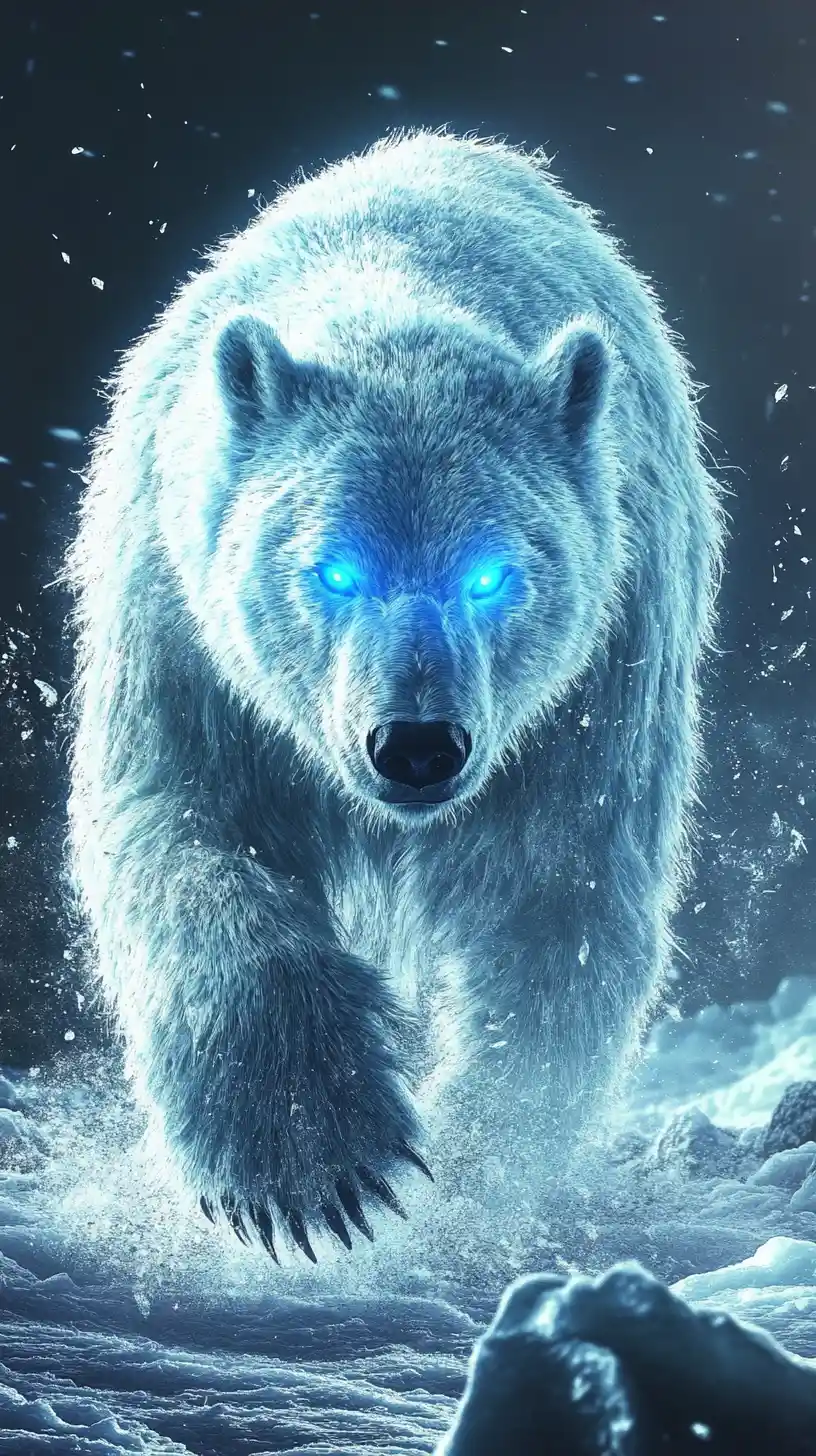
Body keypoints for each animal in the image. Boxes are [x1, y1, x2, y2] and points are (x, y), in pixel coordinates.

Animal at [61, 127, 727, 1264]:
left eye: (493, 575)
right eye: (333, 570)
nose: (415, 745)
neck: (401, 297)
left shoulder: (593, 682)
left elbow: (559, 901)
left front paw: (473, 1167)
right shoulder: (189, 644)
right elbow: (183, 838)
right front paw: (315, 1166)